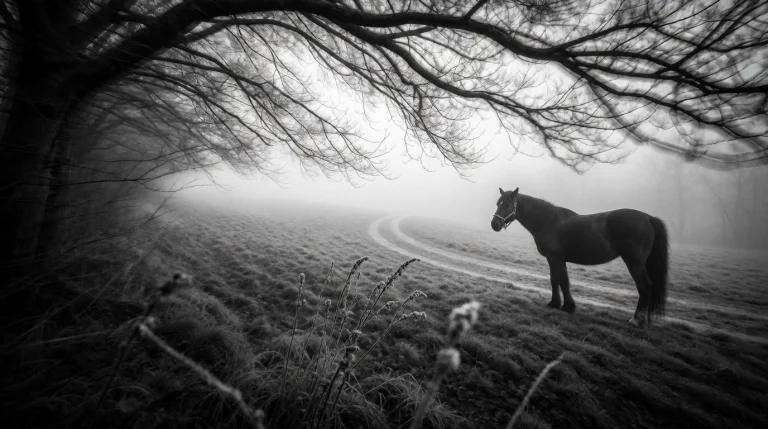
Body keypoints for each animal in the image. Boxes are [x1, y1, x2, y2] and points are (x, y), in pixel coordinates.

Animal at [490, 187, 669, 327]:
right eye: (498, 203)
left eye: (507, 204)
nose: (495, 224)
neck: (548, 221)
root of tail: (648, 218)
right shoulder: (556, 259)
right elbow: (557, 280)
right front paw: (558, 304)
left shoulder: (554, 257)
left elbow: (561, 280)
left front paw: (565, 306)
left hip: (634, 263)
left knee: (645, 286)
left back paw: (636, 320)